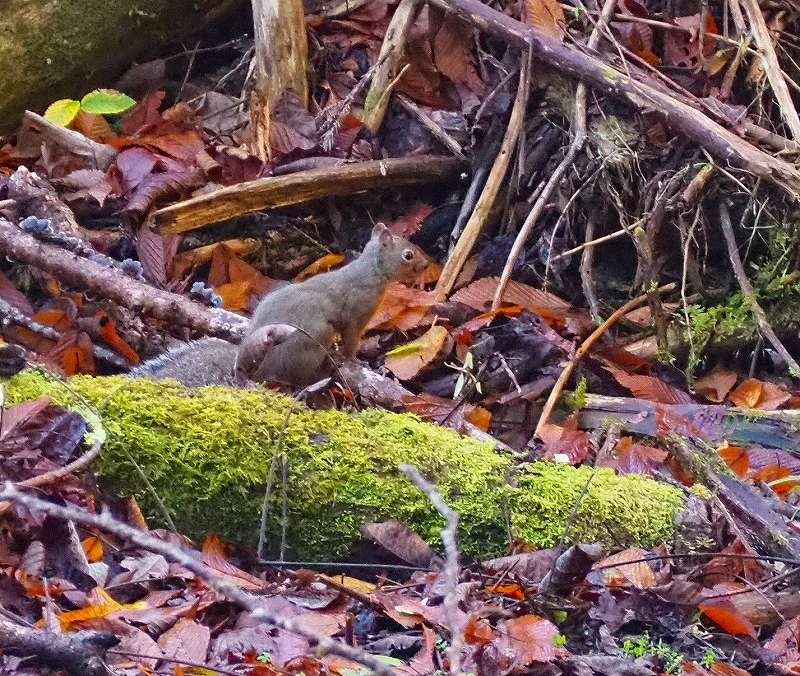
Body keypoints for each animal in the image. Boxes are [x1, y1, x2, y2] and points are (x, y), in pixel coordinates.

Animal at [131, 224, 428, 388]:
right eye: (408, 255)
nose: (427, 265)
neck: (370, 272)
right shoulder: (358, 312)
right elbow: (350, 341)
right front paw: (355, 361)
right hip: (311, 340)